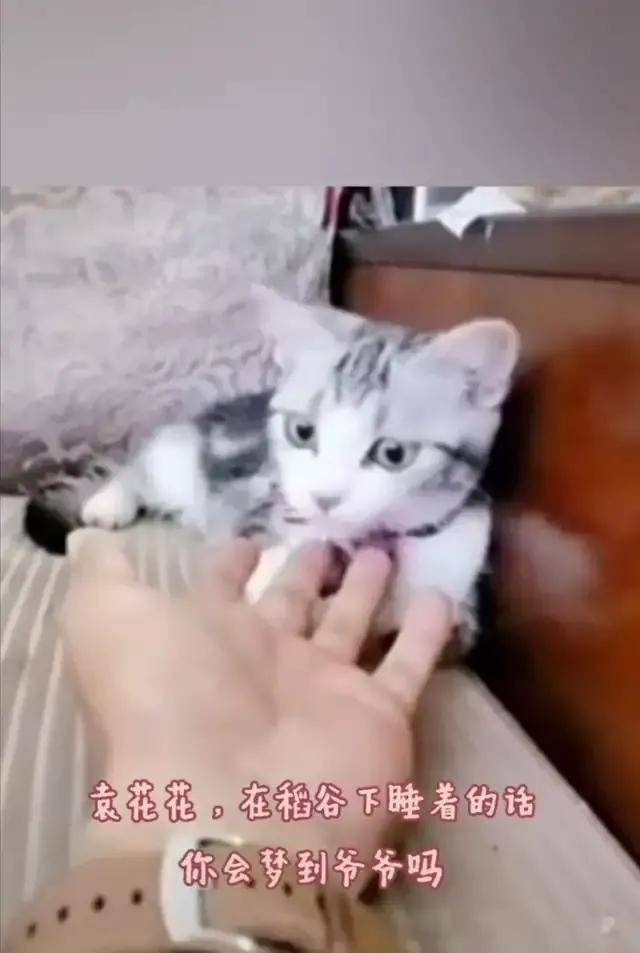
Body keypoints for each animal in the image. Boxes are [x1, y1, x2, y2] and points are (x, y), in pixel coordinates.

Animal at [23, 287, 520, 646]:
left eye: (393, 454)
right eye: (303, 431)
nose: (325, 497)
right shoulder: (263, 497)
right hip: (180, 457)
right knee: (140, 467)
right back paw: (109, 502)